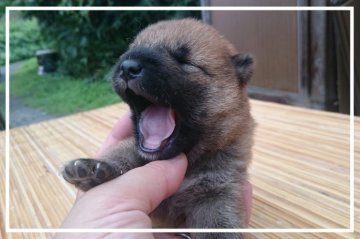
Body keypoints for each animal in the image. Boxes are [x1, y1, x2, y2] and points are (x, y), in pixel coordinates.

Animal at [63, 19, 255, 239]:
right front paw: (94, 168)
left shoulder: (218, 189)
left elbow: (218, 223)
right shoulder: (133, 147)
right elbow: (122, 153)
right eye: (131, 50)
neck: (190, 160)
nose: (128, 67)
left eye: (184, 60)